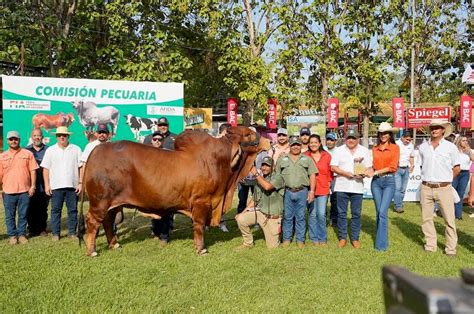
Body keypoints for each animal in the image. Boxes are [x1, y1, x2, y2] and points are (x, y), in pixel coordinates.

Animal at [81, 126, 270, 256]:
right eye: (248, 134)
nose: (268, 141)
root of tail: (97, 149)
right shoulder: (201, 202)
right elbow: (199, 226)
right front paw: (201, 249)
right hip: (100, 201)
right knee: (92, 221)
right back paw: (92, 251)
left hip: (113, 204)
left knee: (107, 221)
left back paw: (114, 244)